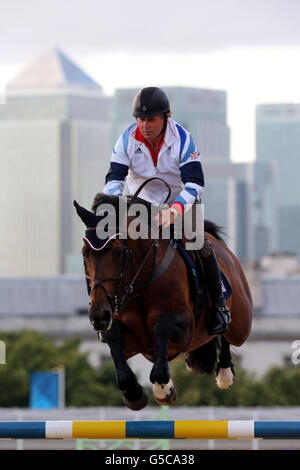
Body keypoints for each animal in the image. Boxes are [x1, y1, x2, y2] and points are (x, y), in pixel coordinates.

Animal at [74, 189, 252, 410]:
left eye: (117, 251)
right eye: (85, 253)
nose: (99, 317)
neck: (140, 281)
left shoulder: (185, 328)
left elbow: (162, 328)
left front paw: (164, 390)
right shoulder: (129, 338)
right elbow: (114, 340)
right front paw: (135, 394)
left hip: (241, 325)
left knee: (226, 333)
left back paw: (225, 370)